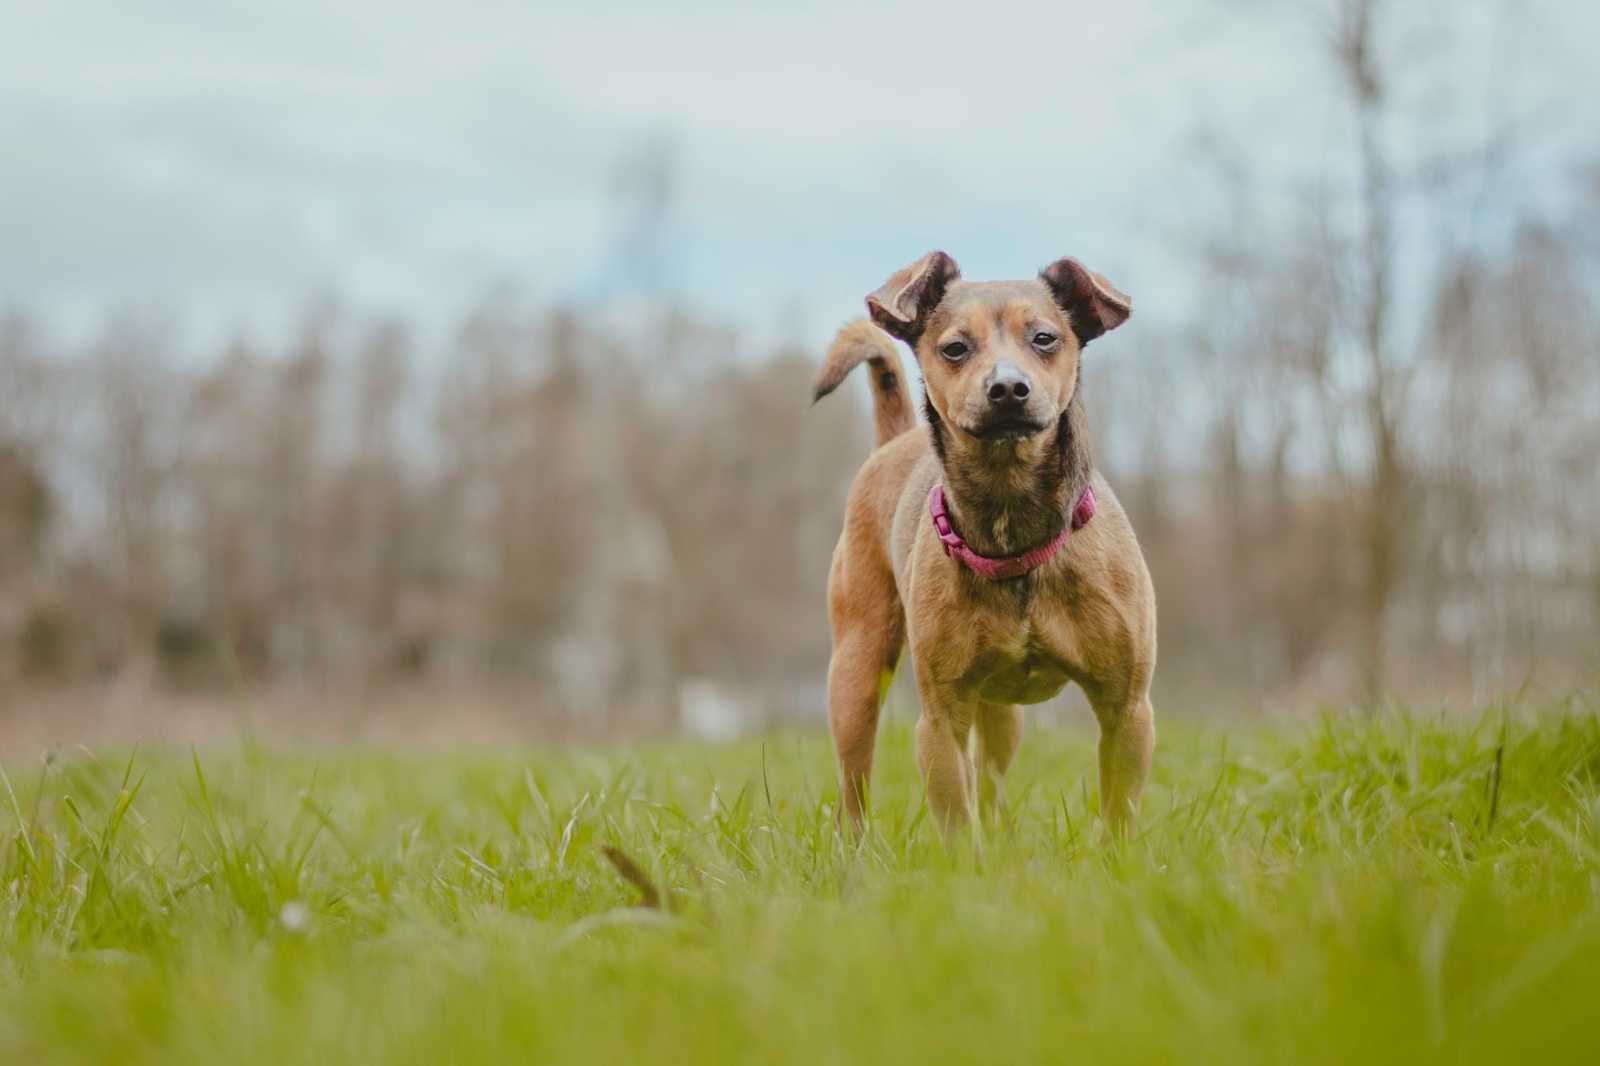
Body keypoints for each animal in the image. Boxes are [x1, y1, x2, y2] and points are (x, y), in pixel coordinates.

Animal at [812, 251, 1152, 838]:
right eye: (955, 348)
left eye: (1044, 338)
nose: (1008, 387)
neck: (1013, 529)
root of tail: (892, 441)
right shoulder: (941, 720)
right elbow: (955, 815)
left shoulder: (1128, 710)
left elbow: (1120, 812)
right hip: (857, 670)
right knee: (855, 783)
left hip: (1001, 714)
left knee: (990, 782)